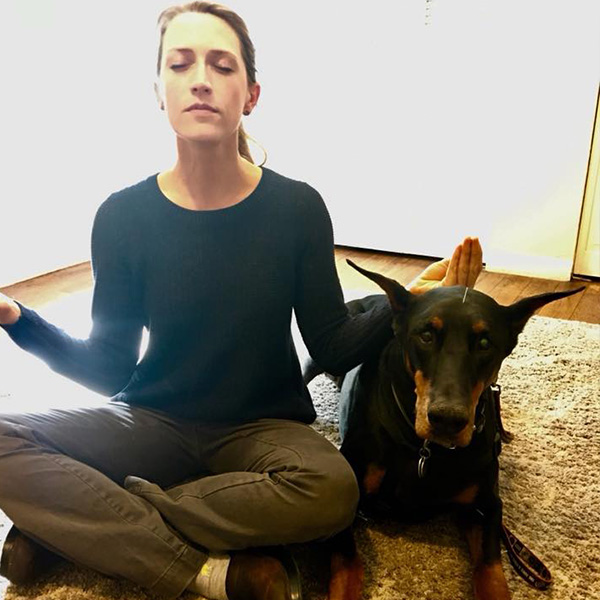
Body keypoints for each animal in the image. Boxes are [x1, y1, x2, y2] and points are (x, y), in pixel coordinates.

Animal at [302, 262, 584, 600]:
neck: (424, 449)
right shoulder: (347, 502)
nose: (447, 419)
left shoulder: (487, 507)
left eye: (485, 343)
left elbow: (492, 573)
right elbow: (348, 565)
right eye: (426, 335)